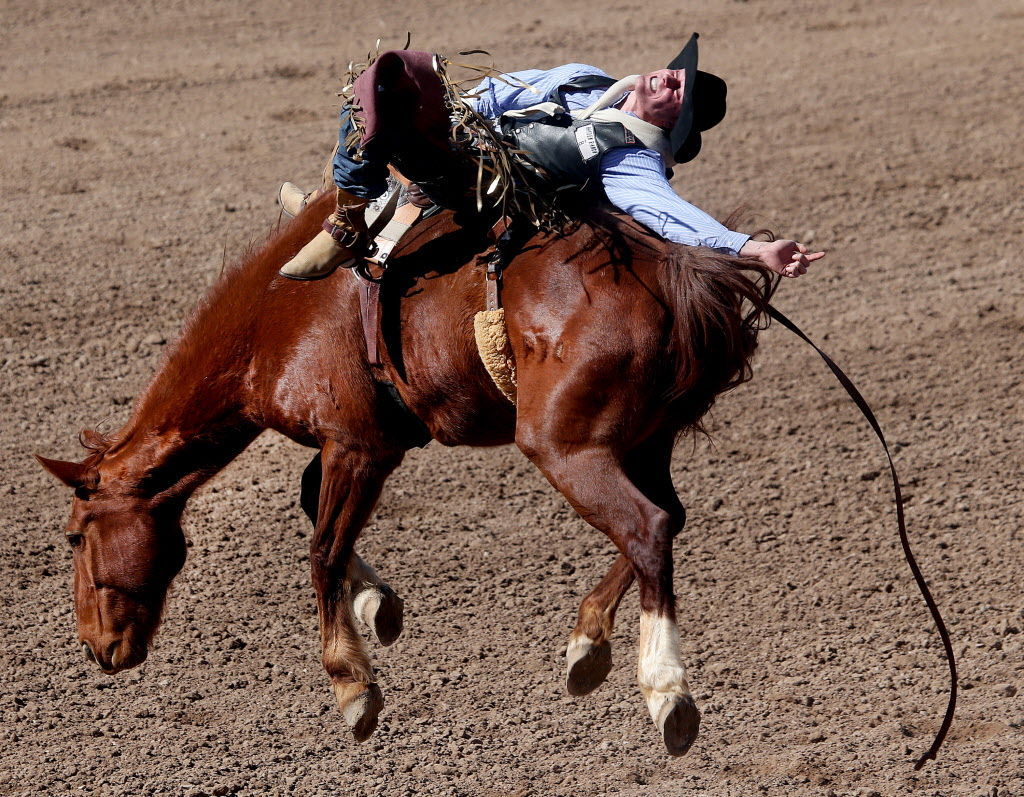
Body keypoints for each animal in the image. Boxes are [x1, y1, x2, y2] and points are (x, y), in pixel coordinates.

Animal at [37, 190, 774, 749]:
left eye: (74, 536)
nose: (96, 647)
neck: (276, 314)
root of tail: (675, 269)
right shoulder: (368, 442)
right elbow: (312, 506)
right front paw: (379, 606)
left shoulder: (357, 445)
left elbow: (324, 548)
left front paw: (352, 684)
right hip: (646, 440)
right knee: (667, 518)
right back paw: (587, 644)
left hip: (568, 447)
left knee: (646, 527)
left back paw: (666, 691)